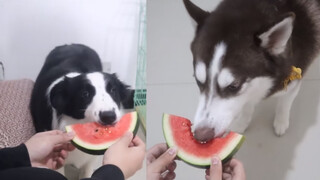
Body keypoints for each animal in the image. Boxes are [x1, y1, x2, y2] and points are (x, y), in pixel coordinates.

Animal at [184, 0, 320, 141]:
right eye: (199, 82)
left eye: (233, 86)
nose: (201, 135)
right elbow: (247, 105)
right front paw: (243, 122)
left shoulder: (294, 81)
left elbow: (284, 104)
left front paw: (281, 122)